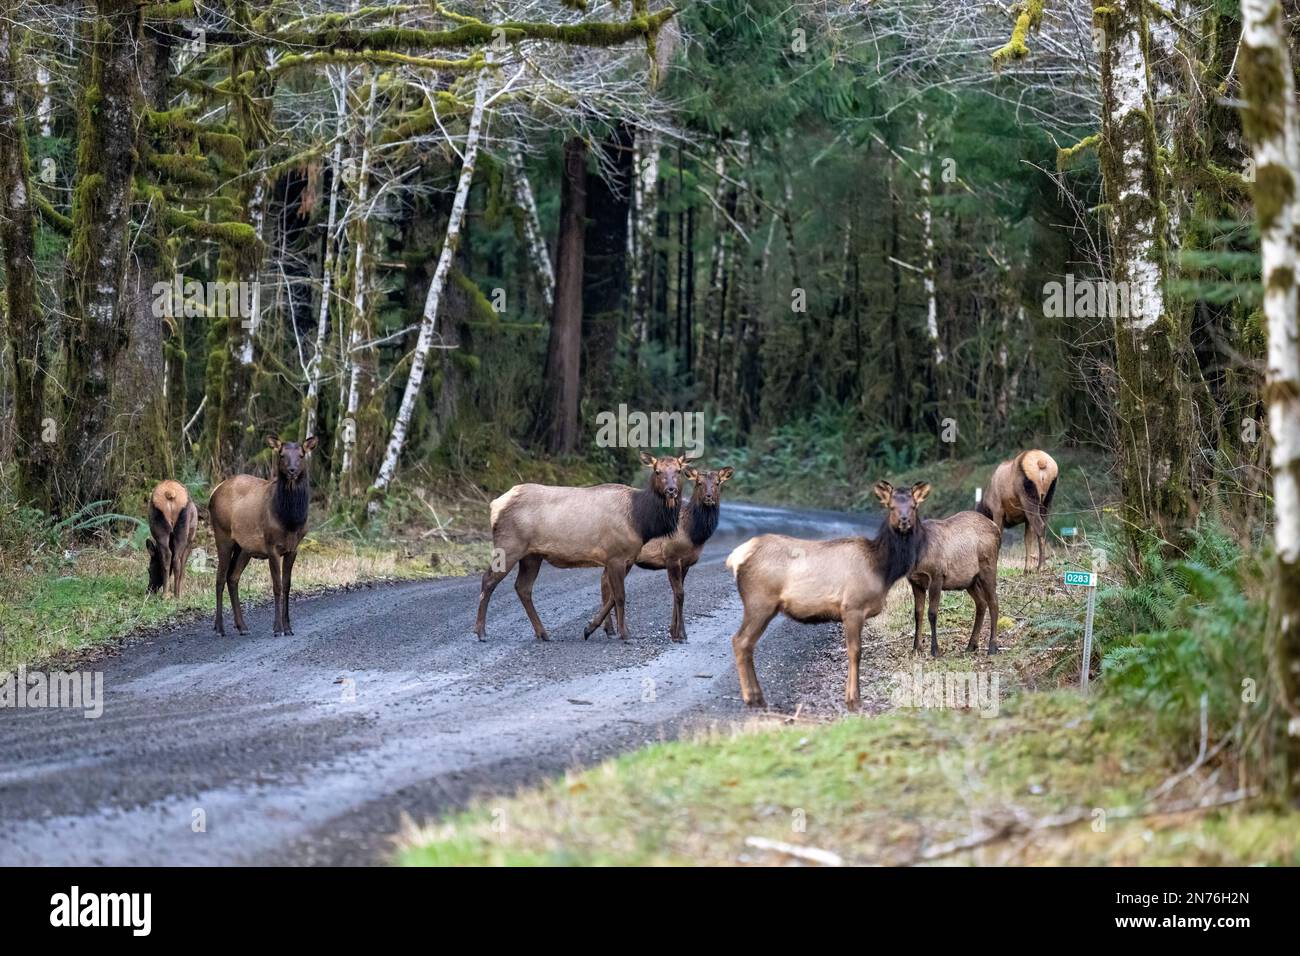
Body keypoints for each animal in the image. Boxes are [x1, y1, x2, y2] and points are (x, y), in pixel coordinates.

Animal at [210, 437, 319, 639]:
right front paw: (277, 628)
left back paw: (242, 626)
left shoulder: (293, 548)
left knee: (232, 577)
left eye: (301, 455)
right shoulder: (271, 546)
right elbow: (276, 586)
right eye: (281, 454)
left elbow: (287, 585)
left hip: (244, 547)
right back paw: (219, 628)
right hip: (222, 534)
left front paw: (288, 627)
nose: (292, 470)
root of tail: (214, 491)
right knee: (220, 578)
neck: (290, 520)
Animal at [470, 450, 691, 642]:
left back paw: (543, 633)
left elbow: (611, 596)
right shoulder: (616, 556)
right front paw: (624, 634)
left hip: (532, 555)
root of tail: (495, 505)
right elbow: (620, 596)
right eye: (657, 471)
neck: (641, 522)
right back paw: (481, 632)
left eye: (678, 470)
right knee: (488, 580)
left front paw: (590, 628)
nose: (671, 490)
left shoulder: (628, 557)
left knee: (522, 587)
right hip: (509, 544)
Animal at [595, 465, 738, 642]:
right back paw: (610, 629)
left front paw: (673, 631)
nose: (709, 497)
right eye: (699, 483)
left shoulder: (686, 563)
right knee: (607, 583)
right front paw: (681, 633)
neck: (693, 533)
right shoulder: (672, 556)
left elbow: (677, 594)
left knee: (605, 581)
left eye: (718, 483)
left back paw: (610, 629)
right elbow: (680, 594)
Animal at [728, 478, 930, 712]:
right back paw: (752, 699)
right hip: (759, 602)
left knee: (747, 643)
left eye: (914, 506)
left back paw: (757, 697)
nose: (904, 521)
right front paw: (853, 700)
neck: (882, 570)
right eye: (891, 506)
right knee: (740, 641)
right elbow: (855, 651)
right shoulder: (852, 607)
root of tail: (736, 557)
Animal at [904, 515, 1003, 658]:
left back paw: (992, 647)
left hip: (988, 567)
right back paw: (971, 645)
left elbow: (932, 613)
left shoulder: (937, 576)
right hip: (970, 581)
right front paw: (916, 648)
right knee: (981, 603)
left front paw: (935, 650)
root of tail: (997, 529)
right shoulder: (915, 582)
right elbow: (918, 613)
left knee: (993, 602)